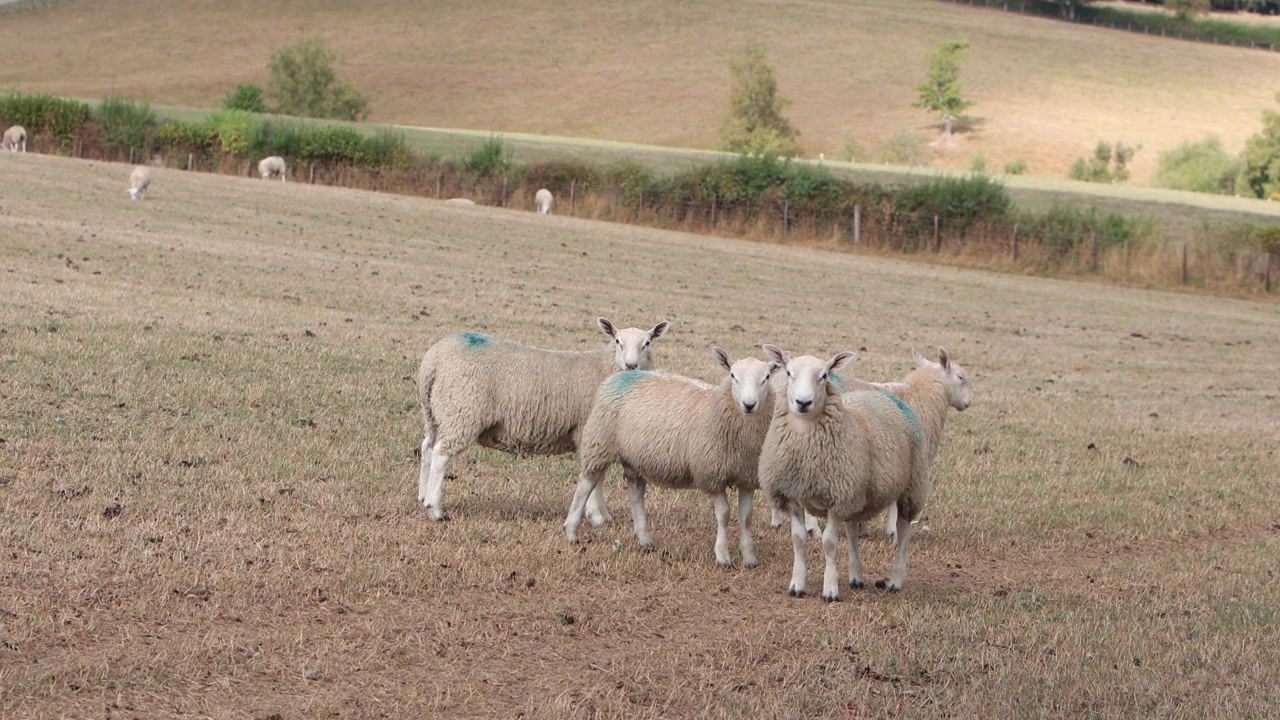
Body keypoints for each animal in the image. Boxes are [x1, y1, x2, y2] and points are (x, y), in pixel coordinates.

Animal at [416, 317, 670, 522]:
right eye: (618, 341)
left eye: (647, 343)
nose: (631, 365)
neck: (604, 368)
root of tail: (434, 359)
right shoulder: (588, 431)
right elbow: (595, 477)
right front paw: (597, 516)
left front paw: (600, 515)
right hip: (461, 411)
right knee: (441, 454)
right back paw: (435, 509)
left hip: (435, 412)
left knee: (427, 447)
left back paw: (422, 496)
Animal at [563, 347, 778, 568]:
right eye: (733, 376)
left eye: (766, 377)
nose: (749, 404)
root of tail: (622, 374)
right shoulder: (712, 474)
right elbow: (724, 515)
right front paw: (723, 556)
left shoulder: (747, 477)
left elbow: (746, 517)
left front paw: (750, 559)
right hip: (600, 441)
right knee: (585, 485)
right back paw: (571, 532)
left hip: (634, 456)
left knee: (635, 492)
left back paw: (644, 539)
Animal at [757, 344, 931, 601]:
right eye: (789, 373)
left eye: (824, 375)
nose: (803, 402)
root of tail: (882, 394)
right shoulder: (794, 496)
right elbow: (798, 541)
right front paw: (797, 586)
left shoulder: (836, 499)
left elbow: (829, 544)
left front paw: (830, 590)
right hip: (856, 493)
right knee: (851, 530)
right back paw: (855, 576)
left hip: (911, 486)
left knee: (903, 531)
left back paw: (895, 581)